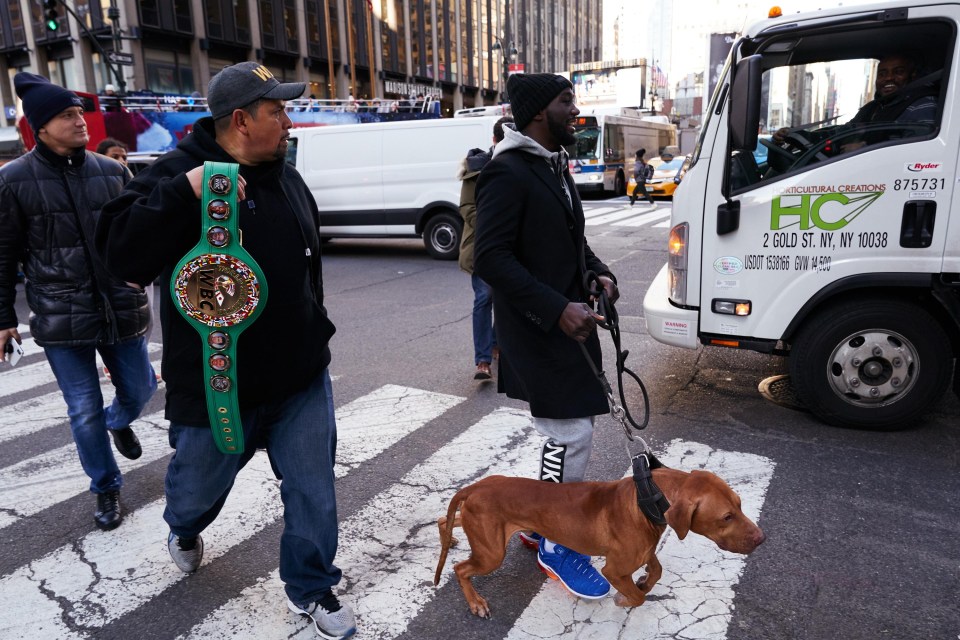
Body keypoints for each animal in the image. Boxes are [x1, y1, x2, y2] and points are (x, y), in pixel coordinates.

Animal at [436, 468, 764, 616]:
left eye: (740, 504)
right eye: (726, 517)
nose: (761, 538)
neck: (649, 496)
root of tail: (475, 486)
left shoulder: (643, 549)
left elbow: (656, 570)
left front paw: (644, 581)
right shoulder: (614, 570)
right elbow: (637, 597)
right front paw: (626, 598)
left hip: (477, 527)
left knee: (443, 520)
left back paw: (450, 537)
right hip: (491, 552)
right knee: (460, 569)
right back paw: (476, 602)